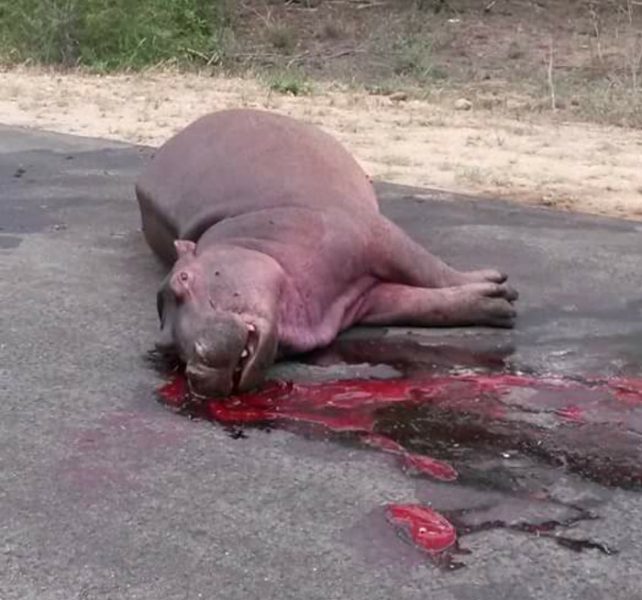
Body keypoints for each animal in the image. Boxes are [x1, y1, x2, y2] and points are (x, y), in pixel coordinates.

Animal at [135, 109, 516, 398]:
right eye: (167, 345)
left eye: (183, 279)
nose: (196, 373)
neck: (249, 239)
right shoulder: (363, 300)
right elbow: (421, 304)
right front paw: (498, 304)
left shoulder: (373, 236)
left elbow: (430, 270)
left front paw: (500, 286)